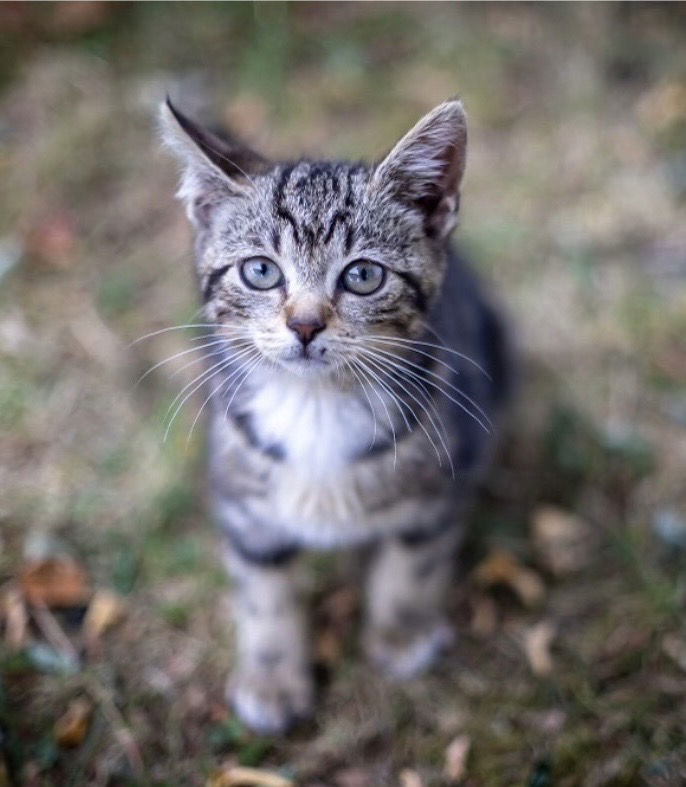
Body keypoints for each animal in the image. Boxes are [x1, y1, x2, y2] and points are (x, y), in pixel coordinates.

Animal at [160, 95, 510, 736]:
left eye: (363, 275)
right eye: (261, 271)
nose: (304, 325)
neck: (316, 404)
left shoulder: (440, 489)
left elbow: (413, 563)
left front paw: (400, 633)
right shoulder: (243, 502)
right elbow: (262, 592)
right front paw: (272, 677)